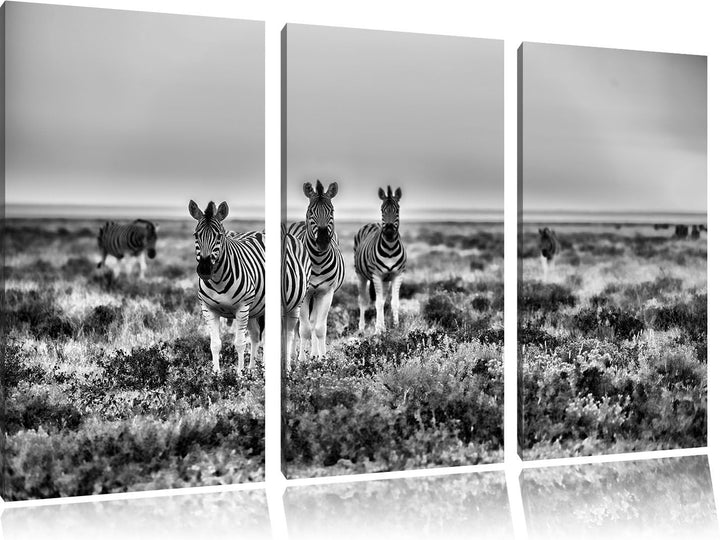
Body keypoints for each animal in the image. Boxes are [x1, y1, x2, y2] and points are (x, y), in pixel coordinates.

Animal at [189, 200, 265, 375]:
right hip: (254, 310)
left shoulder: (242, 308)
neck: (218, 281)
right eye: (196, 235)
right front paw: (216, 374)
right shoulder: (208, 309)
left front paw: (239, 375)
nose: (204, 270)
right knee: (255, 336)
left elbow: (240, 344)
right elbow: (215, 344)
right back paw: (252, 369)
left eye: (219, 236)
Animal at [287, 180, 345, 361]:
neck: (317, 262)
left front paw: (322, 358)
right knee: (296, 325)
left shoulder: (326, 292)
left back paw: (314, 354)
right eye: (311, 212)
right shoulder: (304, 294)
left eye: (331, 211)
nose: (323, 242)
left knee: (313, 322)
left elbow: (319, 328)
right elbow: (304, 329)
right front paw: (301, 360)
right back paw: (292, 355)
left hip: (316, 295)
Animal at [353, 186, 407, 334]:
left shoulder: (397, 275)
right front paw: (377, 330)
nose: (388, 230)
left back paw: (383, 327)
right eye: (382, 209)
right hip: (360, 275)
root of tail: (371, 223)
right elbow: (377, 303)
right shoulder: (376, 275)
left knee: (382, 300)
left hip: (385, 280)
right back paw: (361, 328)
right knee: (363, 300)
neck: (390, 249)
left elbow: (393, 302)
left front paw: (396, 327)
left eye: (397, 209)